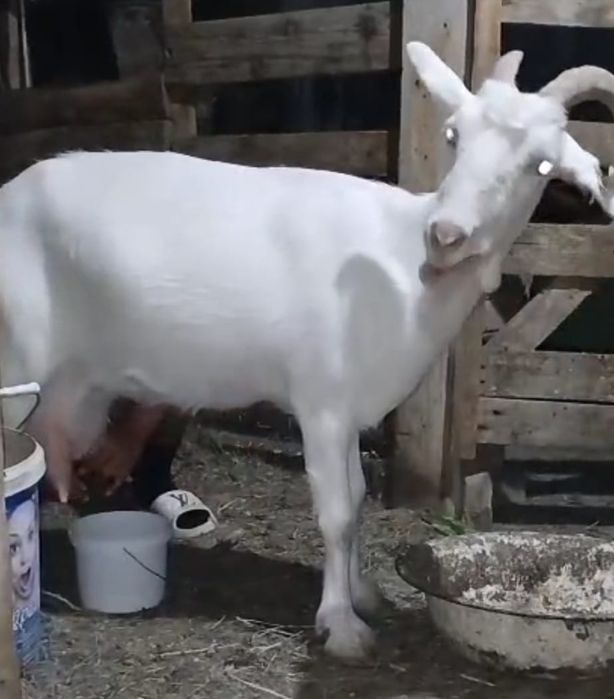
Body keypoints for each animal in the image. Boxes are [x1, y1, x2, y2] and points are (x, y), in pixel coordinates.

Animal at [1, 43, 613, 659]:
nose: (445, 235)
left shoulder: (352, 409)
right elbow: (337, 513)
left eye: (541, 164)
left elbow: (361, 498)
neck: (401, 266)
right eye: (453, 135)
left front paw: (363, 594)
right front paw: (341, 626)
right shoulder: (321, 403)